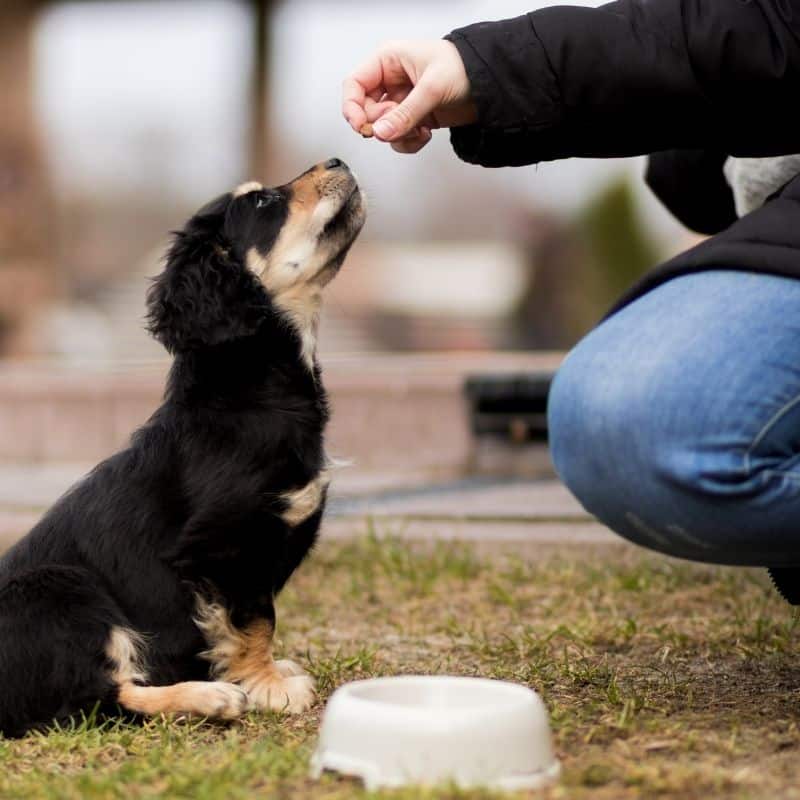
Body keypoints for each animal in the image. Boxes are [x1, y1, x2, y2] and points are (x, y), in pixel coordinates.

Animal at [0, 156, 368, 736]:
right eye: (263, 202)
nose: (338, 159)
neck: (249, 385)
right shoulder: (224, 546)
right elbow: (254, 620)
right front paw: (266, 687)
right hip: (61, 588)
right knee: (93, 702)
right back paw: (209, 697)